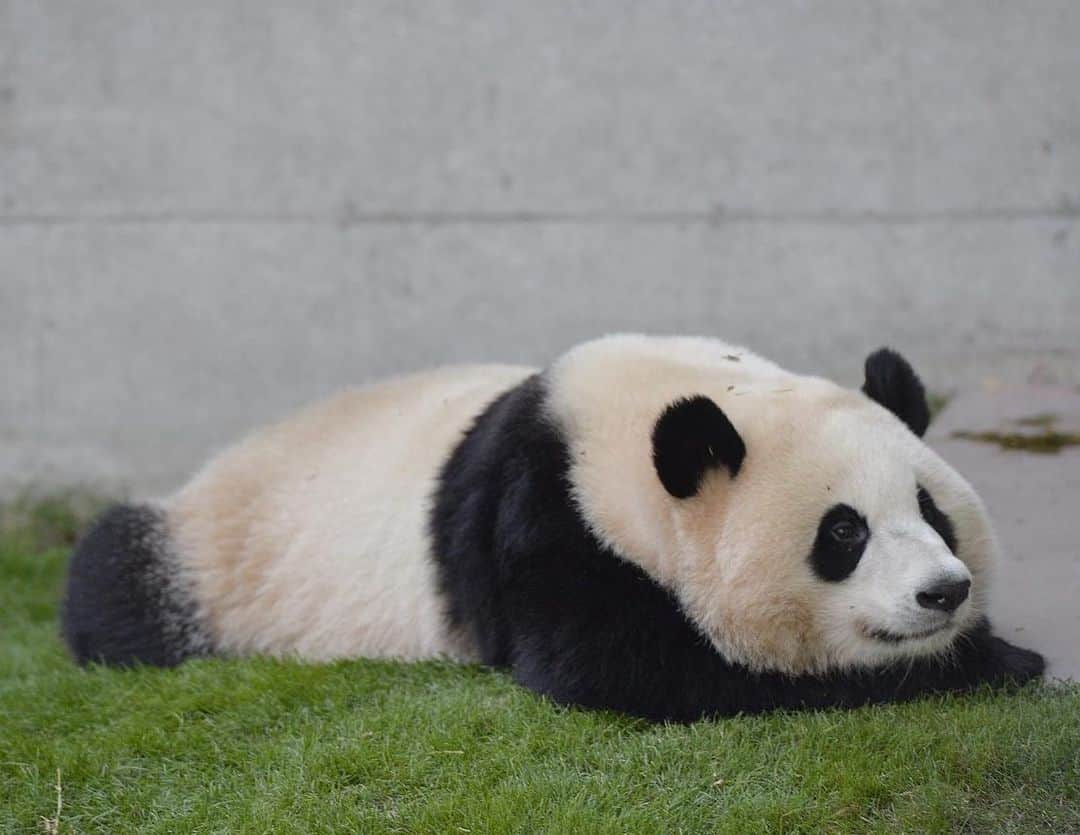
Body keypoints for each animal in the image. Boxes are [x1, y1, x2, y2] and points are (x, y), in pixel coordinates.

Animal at [63, 334, 1041, 721]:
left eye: (931, 510)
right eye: (842, 533)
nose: (943, 592)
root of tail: (209, 472)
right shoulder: (543, 524)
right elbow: (632, 669)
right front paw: (1001, 659)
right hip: (216, 555)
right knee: (114, 577)